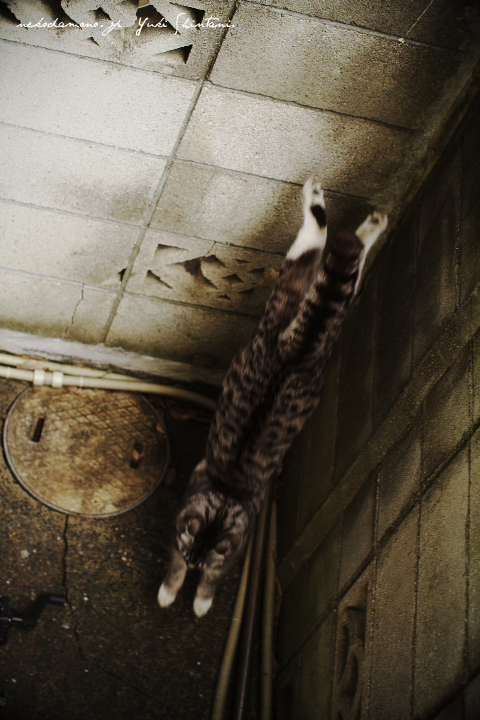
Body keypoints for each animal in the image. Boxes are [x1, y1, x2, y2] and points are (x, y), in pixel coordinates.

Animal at [158, 177, 387, 617]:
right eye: (188, 552)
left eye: (201, 561)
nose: (193, 558)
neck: (225, 497)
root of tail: (294, 349)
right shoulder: (183, 528)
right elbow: (175, 565)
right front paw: (171, 590)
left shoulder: (225, 544)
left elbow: (213, 577)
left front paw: (200, 601)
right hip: (302, 305)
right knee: (327, 253)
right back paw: (350, 216)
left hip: (296, 306)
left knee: (325, 250)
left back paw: (358, 219)